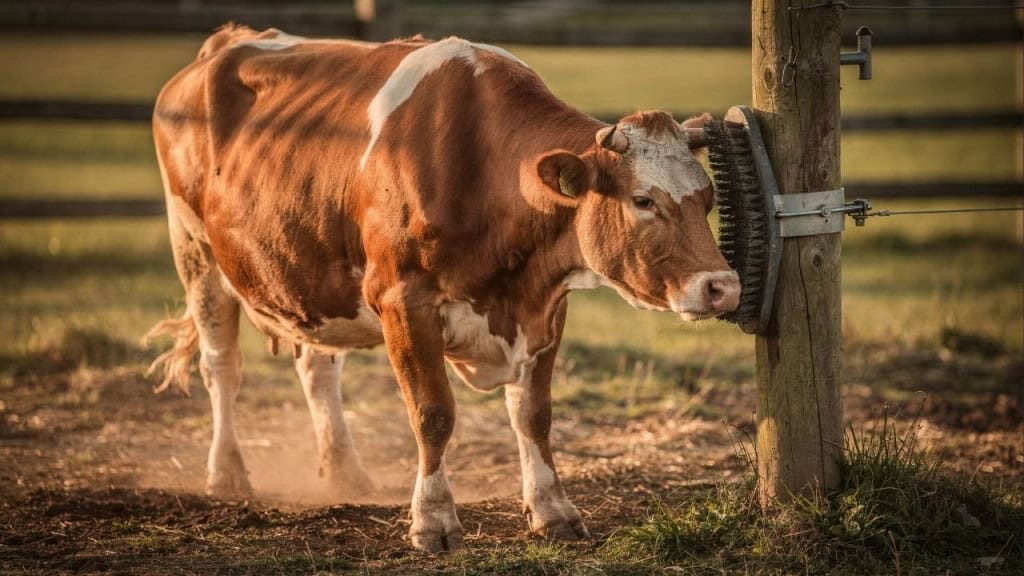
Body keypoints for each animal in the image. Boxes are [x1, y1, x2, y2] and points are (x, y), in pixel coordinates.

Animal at [146, 24, 741, 552]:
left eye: (709, 197)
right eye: (643, 200)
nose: (723, 287)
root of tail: (226, 41)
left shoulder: (546, 309)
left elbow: (534, 414)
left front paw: (553, 510)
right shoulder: (403, 302)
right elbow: (432, 415)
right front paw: (432, 521)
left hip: (308, 271)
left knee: (317, 368)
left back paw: (345, 471)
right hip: (195, 251)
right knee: (221, 367)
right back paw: (227, 474)